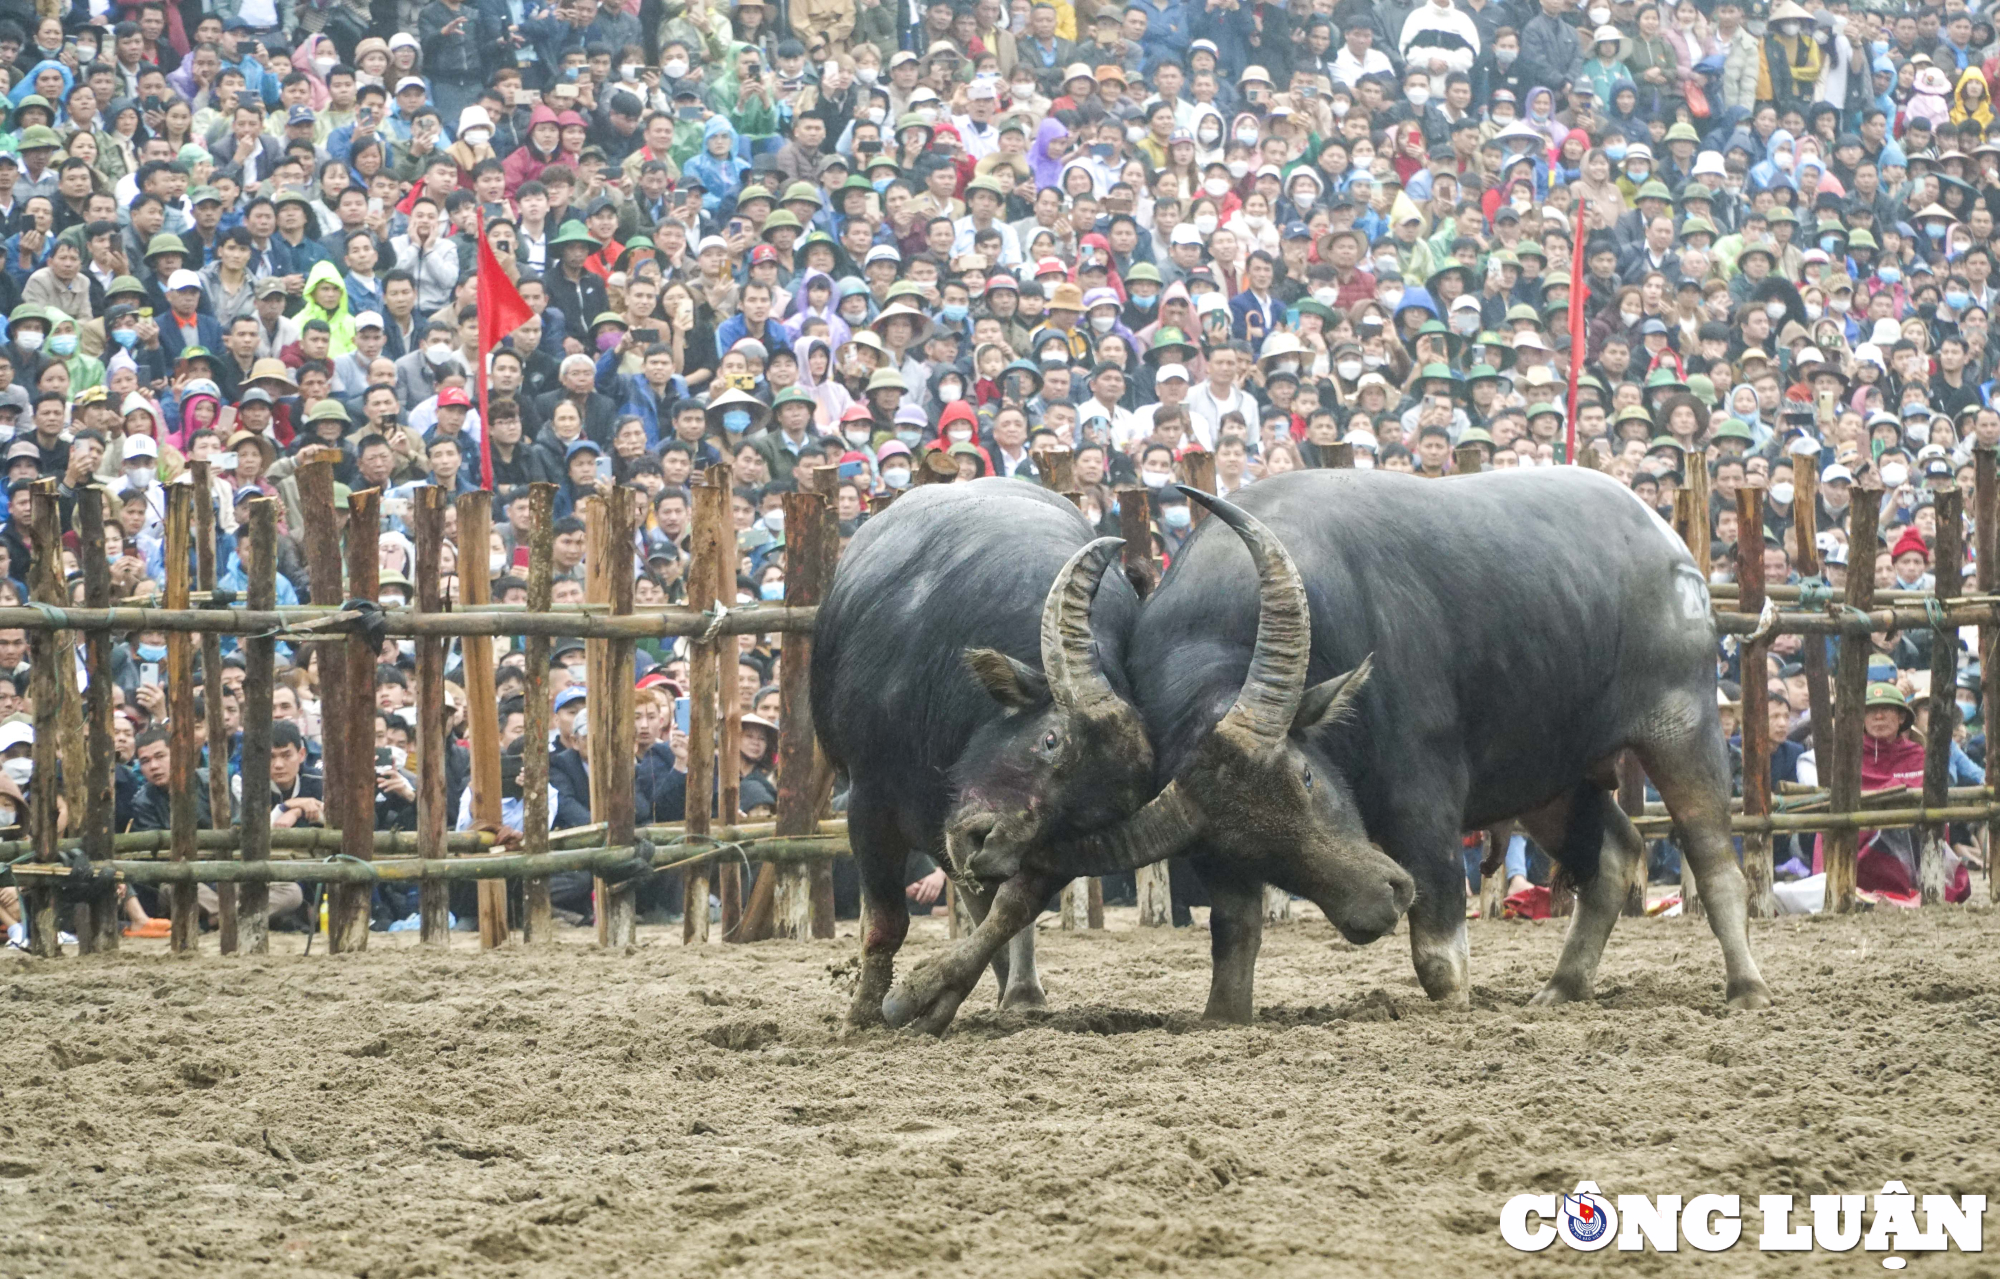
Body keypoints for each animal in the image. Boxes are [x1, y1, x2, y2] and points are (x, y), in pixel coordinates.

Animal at [812, 479, 1152, 1031]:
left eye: (1087, 817)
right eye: (1051, 739)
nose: (987, 848)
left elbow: (1010, 911)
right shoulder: (868, 799)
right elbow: (886, 921)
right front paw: (861, 1017)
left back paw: (1017, 991)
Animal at [884, 463, 1776, 1031]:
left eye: (1308, 778)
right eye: (1253, 847)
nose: (1379, 901)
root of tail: (1668, 543)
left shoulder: (1425, 802)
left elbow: (1439, 955)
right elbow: (1233, 942)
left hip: (1682, 723)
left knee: (1714, 859)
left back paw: (1745, 986)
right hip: (1554, 781)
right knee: (1617, 856)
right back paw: (1561, 987)